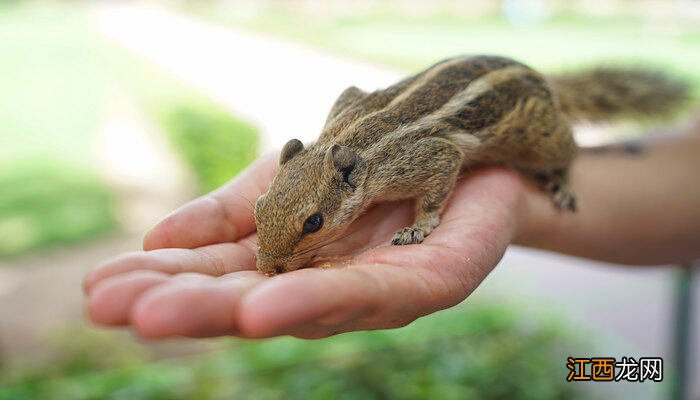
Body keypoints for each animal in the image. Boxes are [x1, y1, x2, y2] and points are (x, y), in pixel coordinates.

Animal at [250, 54, 684, 276]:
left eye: (314, 222)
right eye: (259, 206)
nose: (267, 269)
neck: (353, 139)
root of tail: (546, 79)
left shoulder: (428, 157)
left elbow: (438, 185)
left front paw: (417, 227)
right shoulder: (349, 99)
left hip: (541, 136)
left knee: (570, 148)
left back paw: (563, 182)